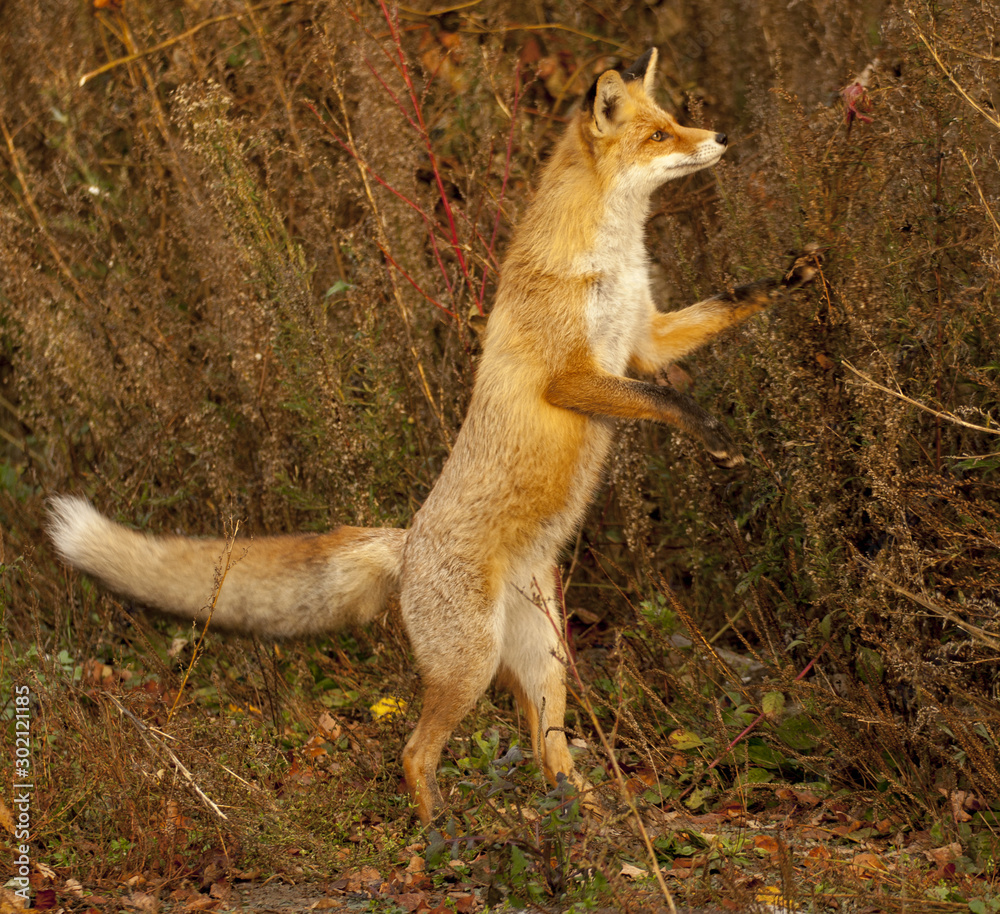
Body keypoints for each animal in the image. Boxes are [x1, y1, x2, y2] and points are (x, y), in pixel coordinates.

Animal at [48, 49, 817, 824]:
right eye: (659, 135)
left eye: (675, 121)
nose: (720, 137)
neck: (609, 259)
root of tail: (406, 544)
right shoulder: (571, 378)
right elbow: (660, 397)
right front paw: (714, 433)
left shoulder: (645, 338)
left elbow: (722, 309)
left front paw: (789, 278)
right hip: (470, 665)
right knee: (414, 754)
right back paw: (444, 832)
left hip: (547, 661)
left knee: (550, 754)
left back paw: (595, 823)